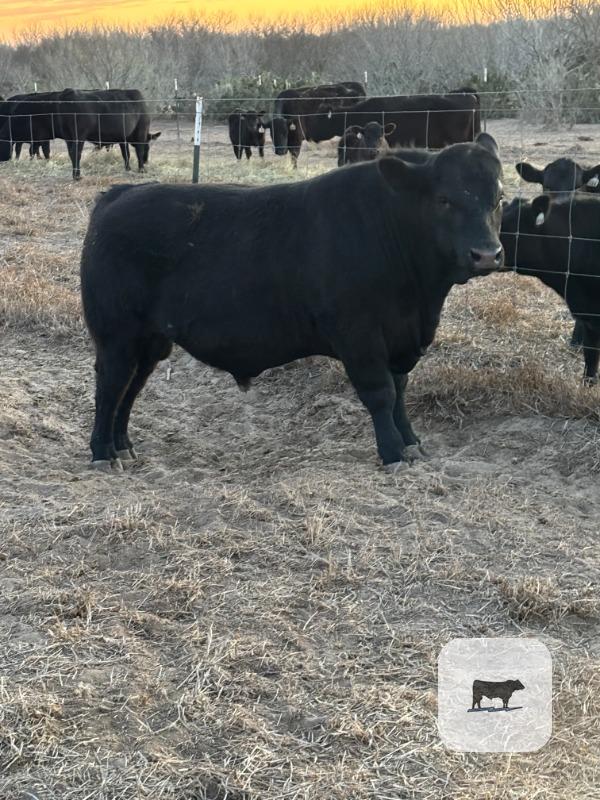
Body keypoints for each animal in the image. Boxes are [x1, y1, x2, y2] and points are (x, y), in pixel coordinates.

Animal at [0, 88, 160, 179]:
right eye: (149, 147)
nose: (147, 161)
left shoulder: (122, 138)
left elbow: (125, 153)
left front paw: (128, 168)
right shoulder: (139, 132)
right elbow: (138, 150)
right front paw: (141, 169)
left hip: (71, 137)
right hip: (79, 136)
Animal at [80, 132, 503, 472]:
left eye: (498, 197)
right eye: (444, 199)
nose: (487, 254)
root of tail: (121, 194)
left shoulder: (399, 337)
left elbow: (399, 392)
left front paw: (412, 443)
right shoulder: (359, 336)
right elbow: (381, 393)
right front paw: (393, 452)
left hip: (150, 342)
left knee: (131, 387)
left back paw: (123, 446)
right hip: (117, 336)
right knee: (111, 385)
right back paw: (103, 453)